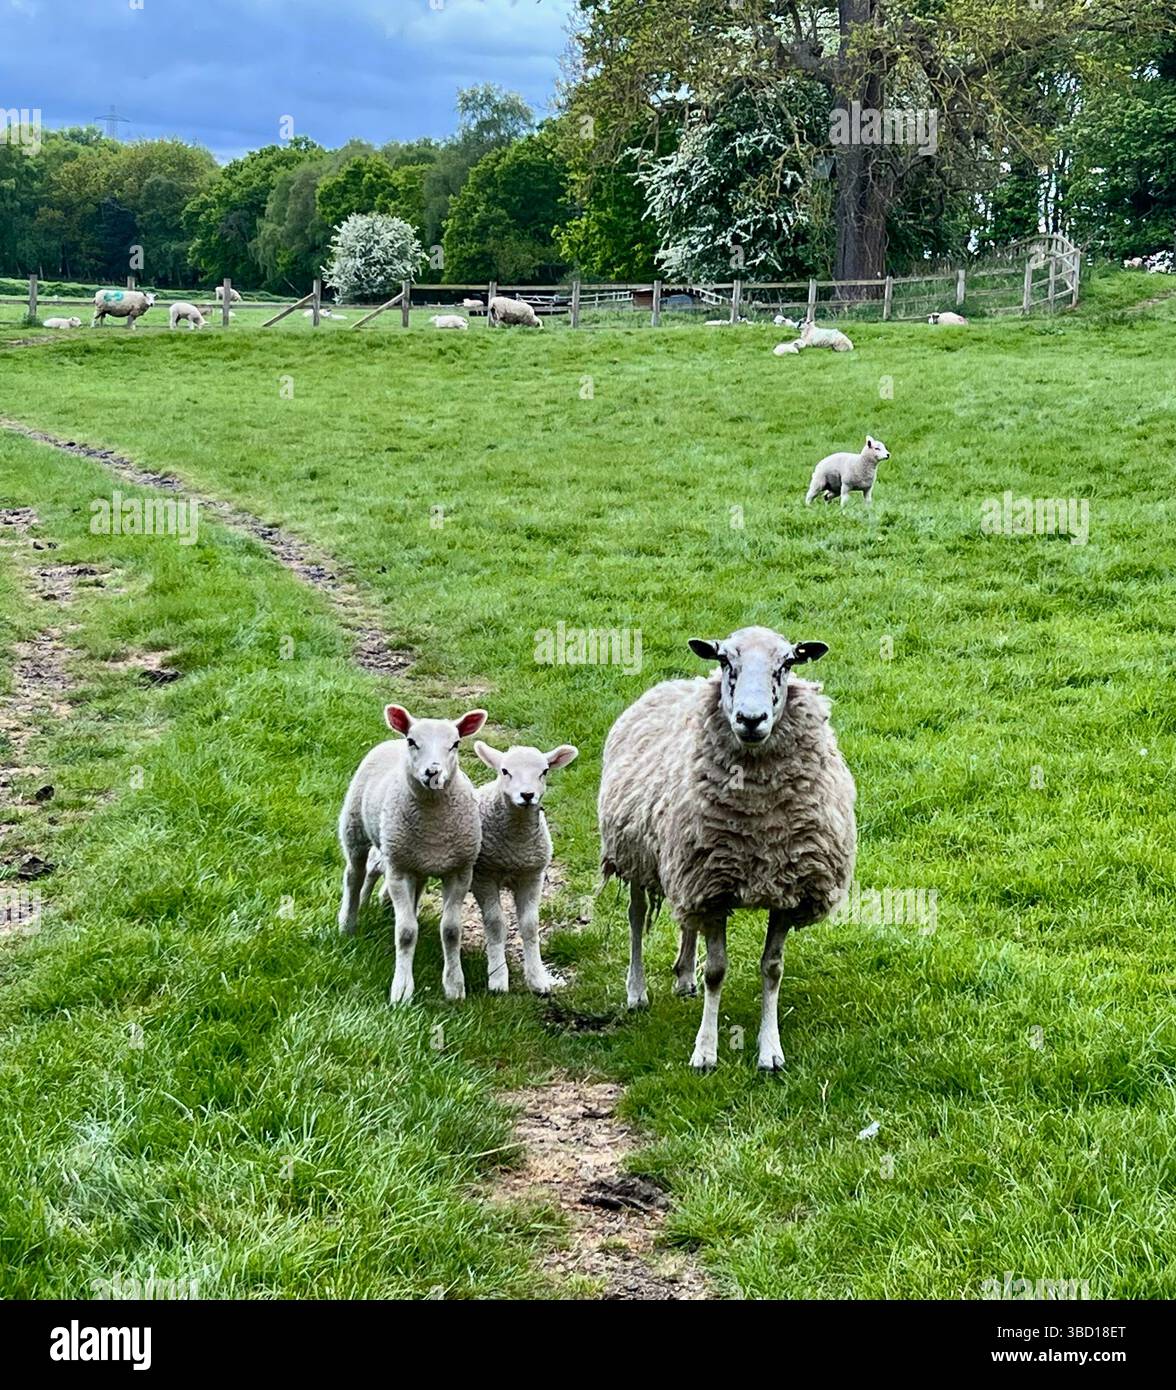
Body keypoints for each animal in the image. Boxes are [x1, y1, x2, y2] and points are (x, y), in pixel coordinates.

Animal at [337, 704, 487, 1004]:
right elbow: (406, 932)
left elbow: (451, 931)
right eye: (413, 741)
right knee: (354, 874)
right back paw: (348, 922)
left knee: (385, 876)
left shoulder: (459, 872)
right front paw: (402, 990)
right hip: (355, 829)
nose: (433, 772)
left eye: (455, 744)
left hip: (412, 858)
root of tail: (390, 740)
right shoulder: (398, 870)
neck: (433, 826)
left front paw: (454, 986)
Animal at [469, 740, 578, 994]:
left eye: (544, 771)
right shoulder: (484, 877)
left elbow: (530, 925)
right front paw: (498, 979)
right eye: (505, 771)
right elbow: (495, 924)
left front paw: (538, 979)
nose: (527, 795)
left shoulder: (532, 876)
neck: (515, 846)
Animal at [599, 626, 856, 1070]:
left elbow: (772, 969)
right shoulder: (713, 889)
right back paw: (637, 991)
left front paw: (770, 1050)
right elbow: (716, 972)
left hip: (686, 865)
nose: (750, 720)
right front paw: (705, 1051)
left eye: (787, 663)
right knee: (636, 917)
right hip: (635, 855)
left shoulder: (780, 888)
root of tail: (675, 682)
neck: (758, 822)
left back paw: (684, 976)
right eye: (724, 660)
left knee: (687, 922)